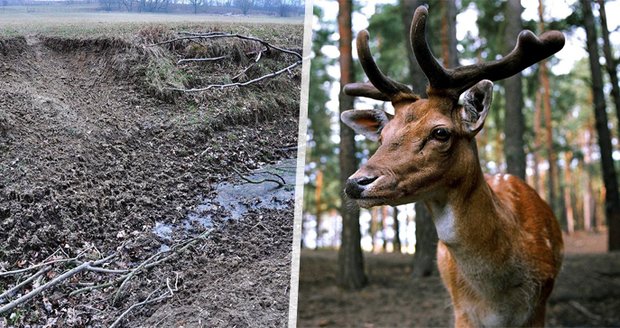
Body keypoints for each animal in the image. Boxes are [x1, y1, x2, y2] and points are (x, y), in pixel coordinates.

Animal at [342, 5, 564, 328]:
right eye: (383, 136)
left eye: (440, 132)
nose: (356, 182)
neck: (497, 300)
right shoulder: (461, 311)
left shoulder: (539, 306)